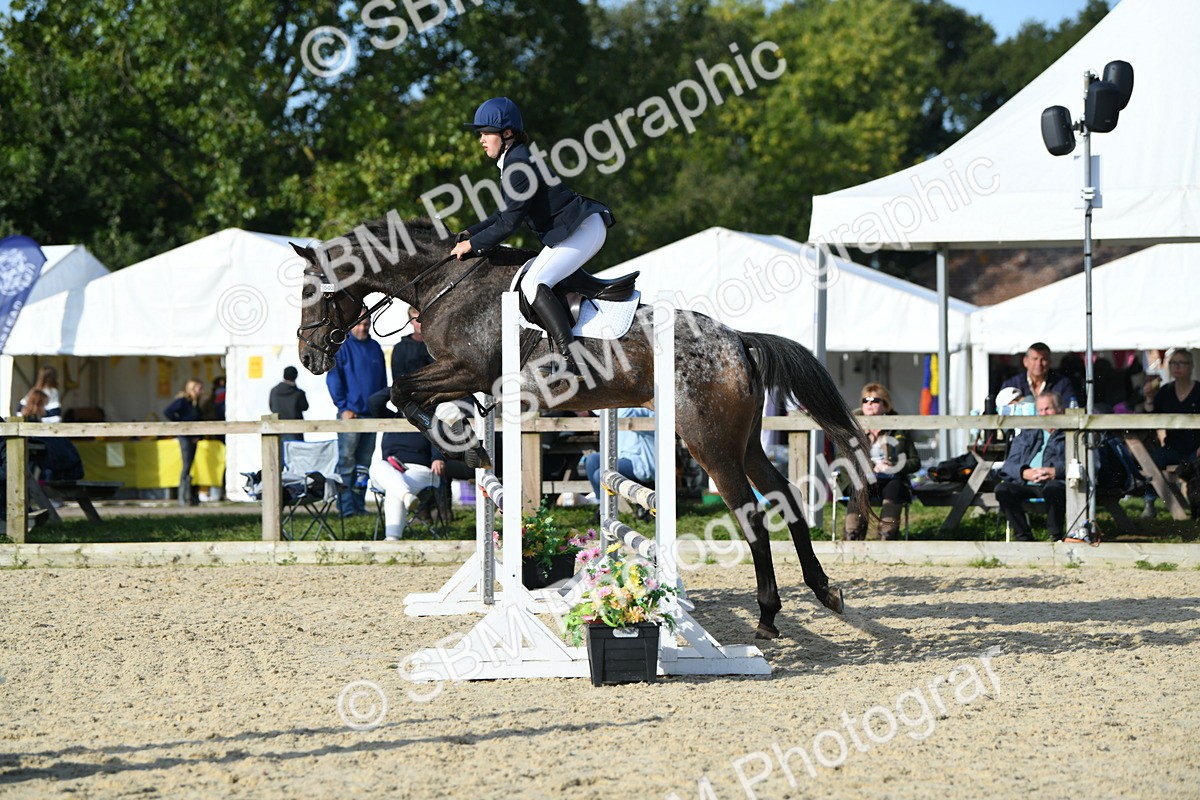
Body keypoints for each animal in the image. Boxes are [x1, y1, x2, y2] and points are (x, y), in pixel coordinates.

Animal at [292, 217, 873, 639]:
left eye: (313, 294)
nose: (309, 358)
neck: (445, 283)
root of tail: (737, 340)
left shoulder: (466, 368)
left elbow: (400, 391)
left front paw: (464, 443)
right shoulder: (460, 374)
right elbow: (411, 394)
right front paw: (471, 440)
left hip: (710, 445)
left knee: (751, 513)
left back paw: (769, 615)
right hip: (743, 441)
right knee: (786, 498)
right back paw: (824, 591)